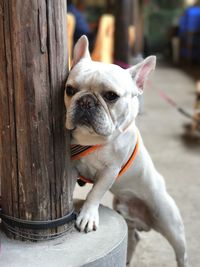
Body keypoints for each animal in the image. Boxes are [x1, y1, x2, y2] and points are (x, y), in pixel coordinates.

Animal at [64, 36, 188, 267]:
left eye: (111, 96)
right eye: (69, 89)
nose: (85, 100)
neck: (94, 139)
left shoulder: (110, 171)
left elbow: (95, 193)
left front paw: (87, 215)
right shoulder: (71, 164)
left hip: (172, 226)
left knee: (181, 253)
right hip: (127, 216)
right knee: (134, 237)